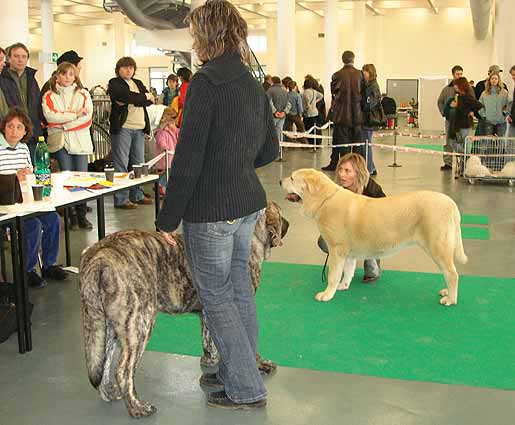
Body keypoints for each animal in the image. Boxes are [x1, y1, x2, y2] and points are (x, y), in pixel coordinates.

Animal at [80, 202, 290, 418]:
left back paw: (108, 393)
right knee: (123, 371)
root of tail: (99, 255)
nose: (288, 224)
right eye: (280, 213)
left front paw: (212, 363)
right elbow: (248, 341)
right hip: (139, 324)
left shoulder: (208, 313)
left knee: (103, 362)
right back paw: (136, 407)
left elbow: (211, 340)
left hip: (105, 326)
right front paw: (259, 364)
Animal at [280, 169, 470, 304]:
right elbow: (347, 272)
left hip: (438, 247)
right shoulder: (348, 254)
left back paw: (450, 299)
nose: (280, 181)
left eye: (292, 178)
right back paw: (447, 292)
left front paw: (327, 294)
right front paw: (343, 286)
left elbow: (334, 274)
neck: (324, 199)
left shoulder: (336, 250)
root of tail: (451, 202)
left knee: (452, 274)